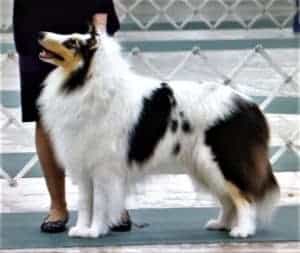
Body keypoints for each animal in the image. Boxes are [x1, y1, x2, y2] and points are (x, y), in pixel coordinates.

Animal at [37, 28, 278, 239]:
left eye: (71, 43)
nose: (40, 34)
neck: (83, 81)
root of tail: (250, 105)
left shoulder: (103, 167)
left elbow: (99, 204)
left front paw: (94, 231)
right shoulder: (83, 164)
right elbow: (85, 202)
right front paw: (81, 230)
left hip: (222, 160)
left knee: (244, 197)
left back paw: (243, 231)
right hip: (204, 166)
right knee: (228, 198)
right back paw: (221, 224)